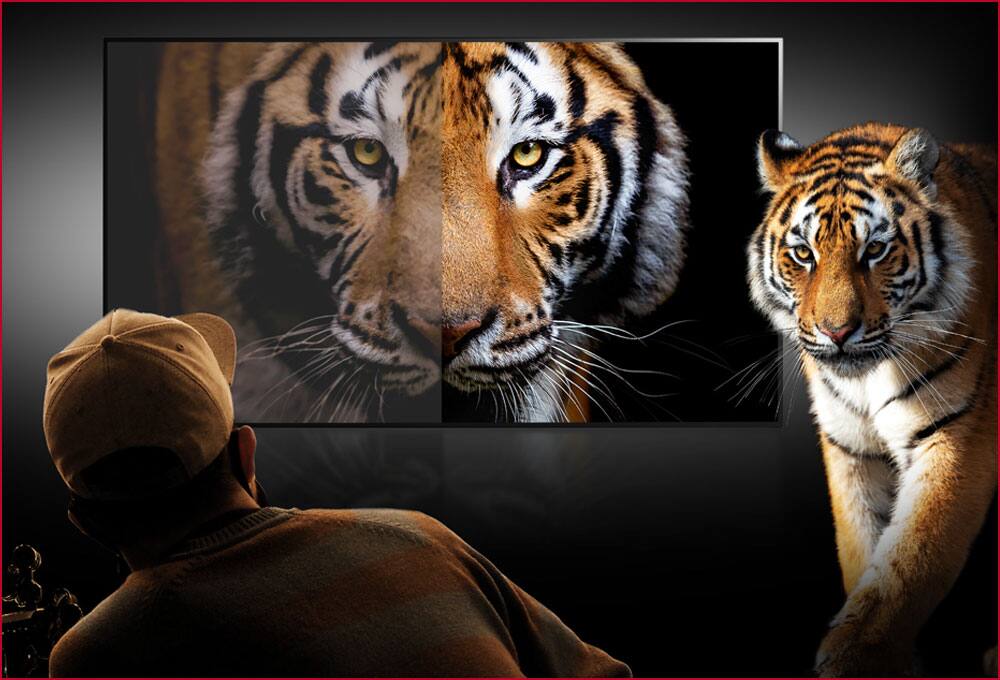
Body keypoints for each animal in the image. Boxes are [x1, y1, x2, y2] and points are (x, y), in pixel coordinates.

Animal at [748, 122, 997, 676]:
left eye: (876, 250)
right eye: (804, 254)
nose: (836, 332)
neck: (867, 379)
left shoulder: (956, 435)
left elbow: (914, 555)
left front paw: (859, 655)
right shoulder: (851, 448)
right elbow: (863, 547)